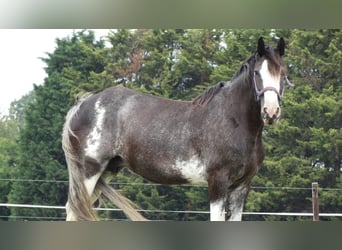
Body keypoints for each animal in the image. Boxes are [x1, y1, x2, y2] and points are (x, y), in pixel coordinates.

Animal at [62, 36, 292, 221]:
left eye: (283, 74)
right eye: (257, 73)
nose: (271, 112)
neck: (232, 119)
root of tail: (83, 103)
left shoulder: (241, 186)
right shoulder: (217, 182)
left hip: (107, 170)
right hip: (88, 171)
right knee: (73, 209)